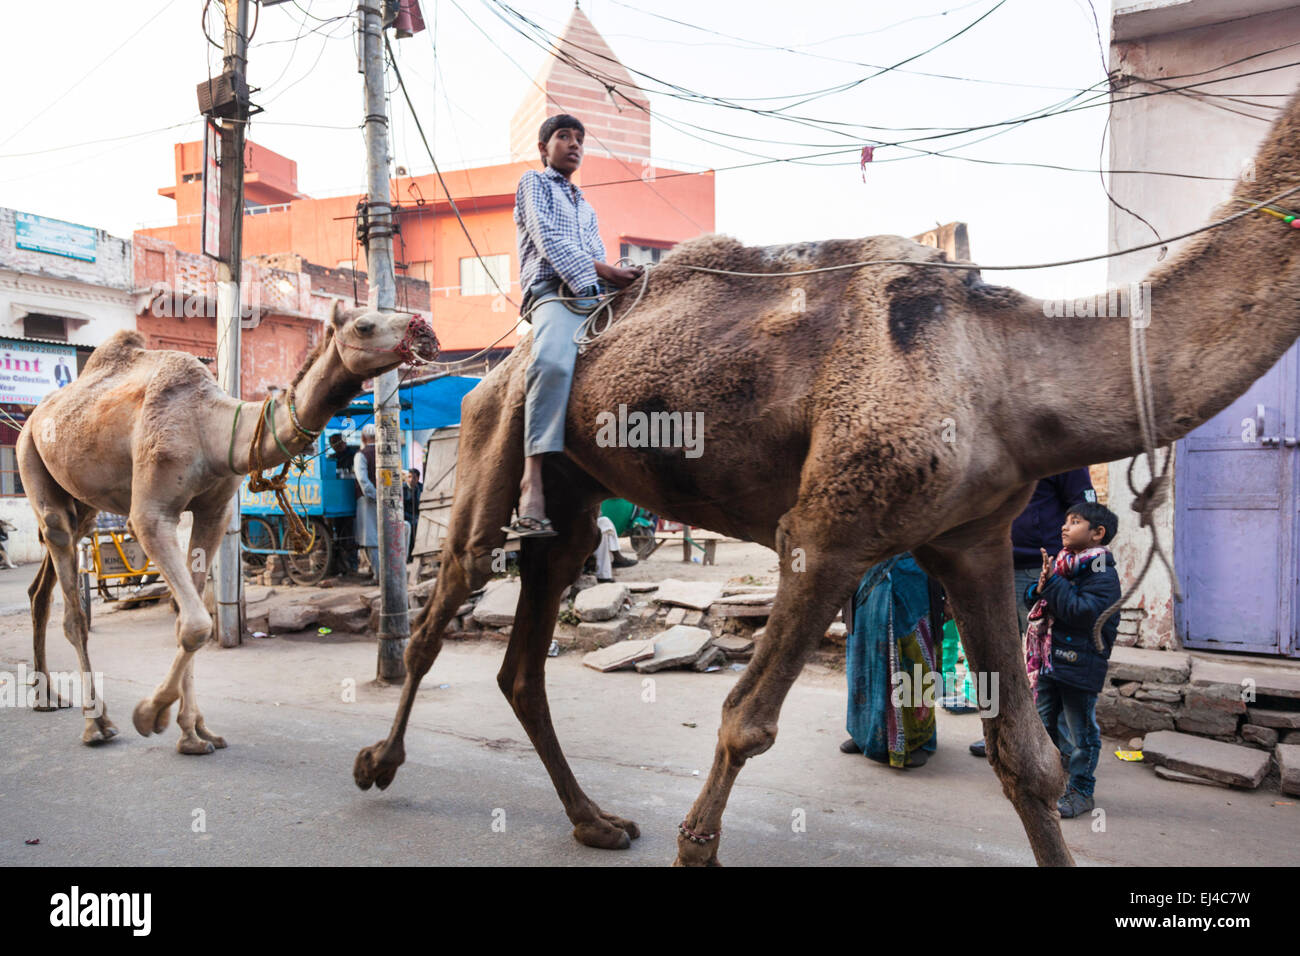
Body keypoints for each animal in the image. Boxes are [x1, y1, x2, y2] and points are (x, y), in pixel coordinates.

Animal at [20, 303, 439, 749]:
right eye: (364, 325)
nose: (425, 332)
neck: (213, 431)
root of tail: (35, 416)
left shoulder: (214, 510)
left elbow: (185, 618)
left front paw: (194, 732)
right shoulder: (151, 513)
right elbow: (196, 624)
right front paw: (150, 714)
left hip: (82, 503)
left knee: (42, 586)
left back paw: (46, 696)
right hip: (33, 457)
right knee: (72, 606)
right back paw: (95, 723)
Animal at [356, 83, 1300, 868]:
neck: (999, 369)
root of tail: (496, 365)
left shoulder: (974, 538)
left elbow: (1026, 758)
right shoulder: (826, 533)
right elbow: (744, 724)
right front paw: (694, 844)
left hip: (574, 497)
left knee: (530, 647)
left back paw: (595, 822)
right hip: (498, 435)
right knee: (447, 601)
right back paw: (377, 763)